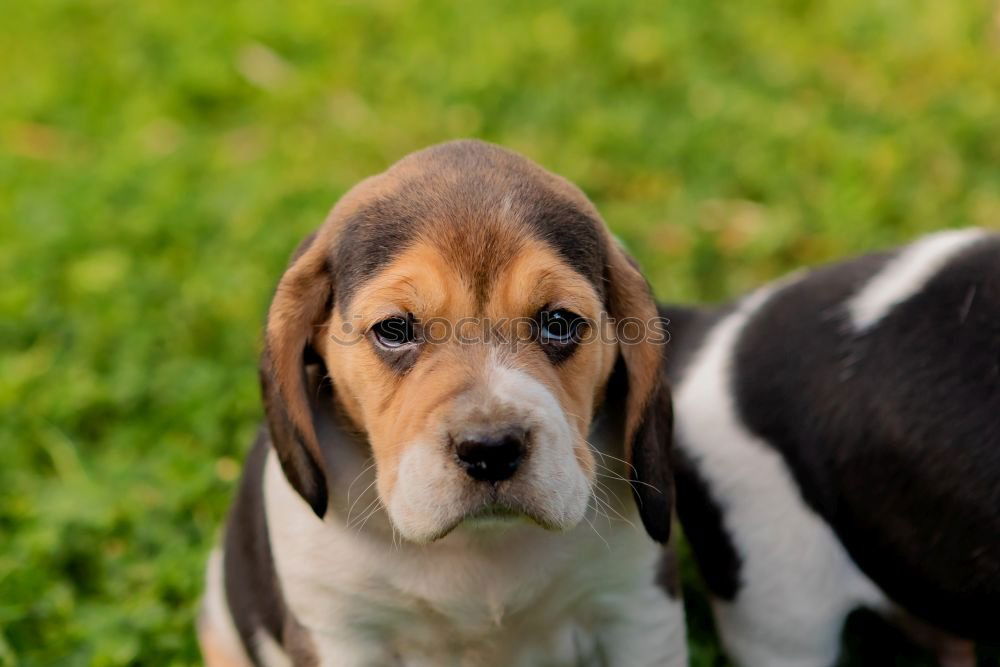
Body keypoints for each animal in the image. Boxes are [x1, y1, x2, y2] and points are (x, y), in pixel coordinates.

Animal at [200, 141, 692, 667]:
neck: (479, 545)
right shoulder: (341, 632)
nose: (491, 449)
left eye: (559, 323)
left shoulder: (637, 610)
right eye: (394, 329)